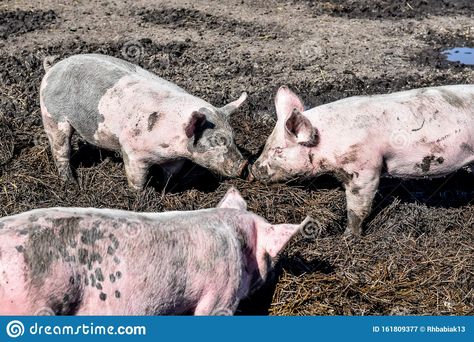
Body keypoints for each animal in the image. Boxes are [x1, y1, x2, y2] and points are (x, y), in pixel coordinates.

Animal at [39, 54, 248, 191]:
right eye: (217, 141)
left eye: (233, 136)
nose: (244, 165)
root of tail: (53, 67)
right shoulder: (133, 152)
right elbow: (136, 179)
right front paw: (140, 196)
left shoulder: (177, 159)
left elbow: (170, 174)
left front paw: (163, 189)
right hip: (52, 117)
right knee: (61, 151)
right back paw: (71, 184)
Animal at [252, 85, 474, 235]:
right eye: (267, 143)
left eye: (279, 150)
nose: (253, 170)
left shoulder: (364, 167)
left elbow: (357, 207)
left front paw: (348, 236)